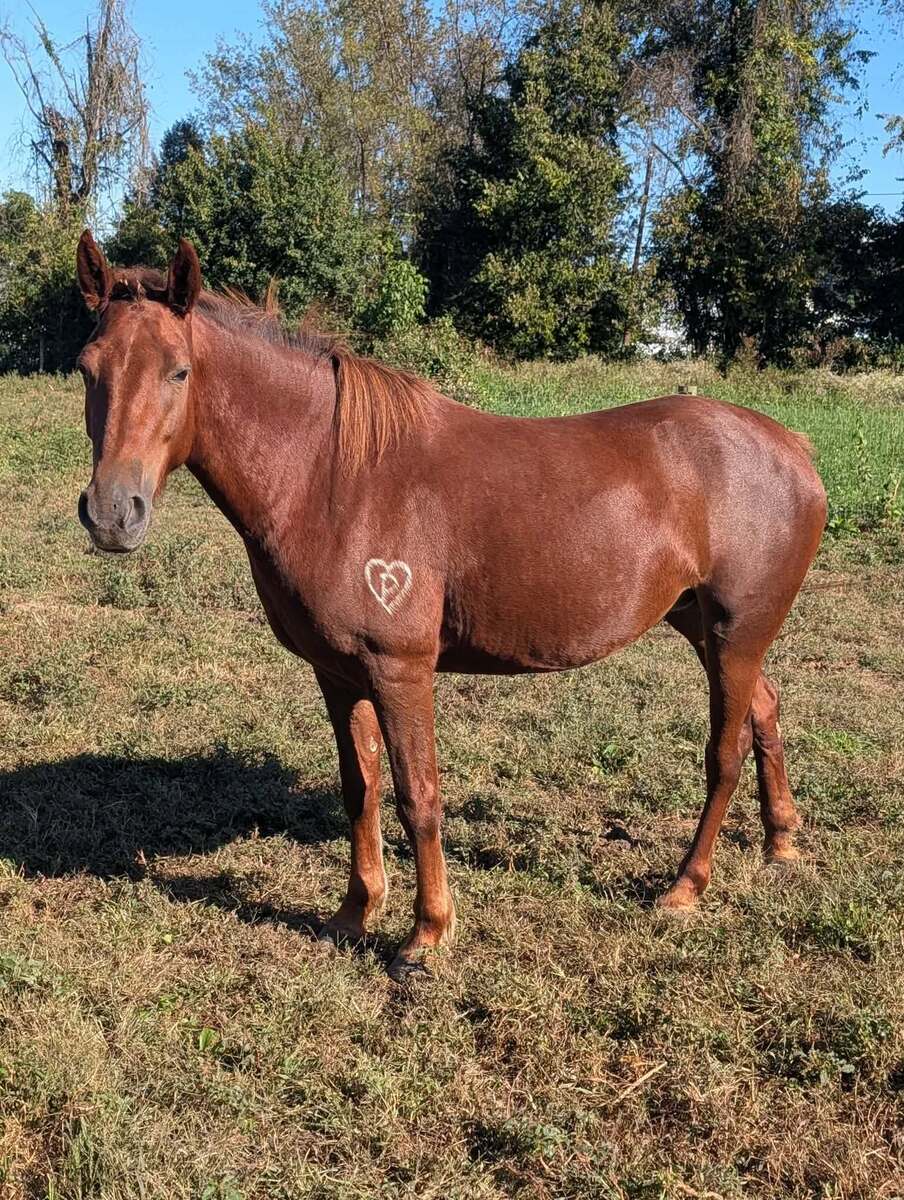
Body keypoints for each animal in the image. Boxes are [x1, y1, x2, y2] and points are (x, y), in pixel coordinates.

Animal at [74, 231, 827, 980]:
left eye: (179, 372)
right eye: (87, 369)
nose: (113, 513)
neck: (331, 476)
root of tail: (793, 447)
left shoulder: (400, 670)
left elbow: (419, 796)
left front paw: (426, 933)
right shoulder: (338, 674)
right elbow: (361, 789)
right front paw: (354, 912)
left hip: (734, 633)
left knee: (725, 752)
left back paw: (685, 886)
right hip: (705, 625)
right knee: (765, 708)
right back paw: (781, 843)